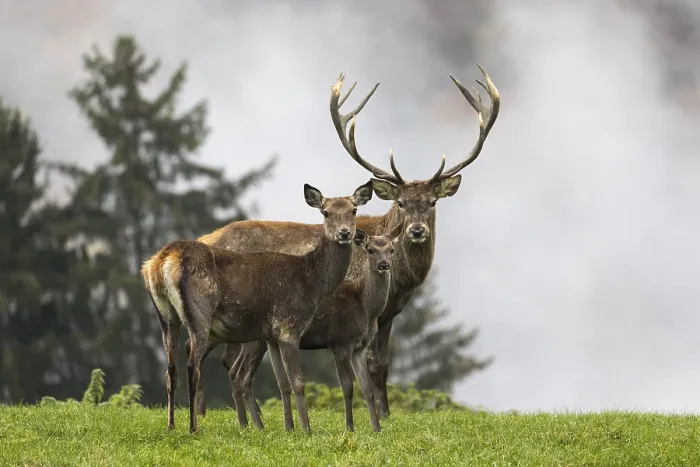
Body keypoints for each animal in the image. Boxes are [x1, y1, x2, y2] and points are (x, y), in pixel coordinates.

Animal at [140, 181, 373, 434]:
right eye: (326, 212)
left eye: (354, 210)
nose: (345, 233)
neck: (313, 282)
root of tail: (162, 260)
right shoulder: (288, 326)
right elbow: (298, 381)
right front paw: (306, 430)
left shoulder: (271, 336)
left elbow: (283, 382)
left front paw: (289, 429)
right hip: (200, 311)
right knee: (193, 366)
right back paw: (193, 428)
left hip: (166, 316)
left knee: (170, 369)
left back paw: (171, 425)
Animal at [230, 223, 403, 433]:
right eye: (370, 250)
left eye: (392, 250)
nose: (384, 265)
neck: (366, 308)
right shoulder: (340, 341)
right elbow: (347, 386)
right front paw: (349, 427)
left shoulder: (360, 347)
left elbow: (367, 388)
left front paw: (376, 428)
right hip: (257, 340)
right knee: (242, 375)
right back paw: (254, 426)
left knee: (236, 373)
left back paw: (246, 425)